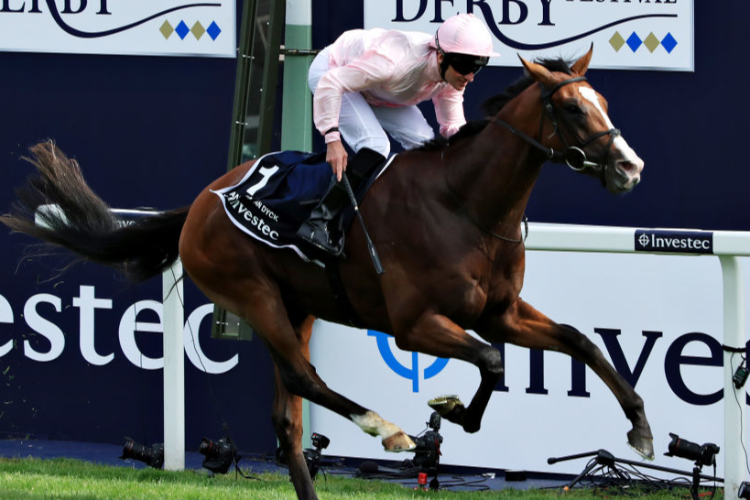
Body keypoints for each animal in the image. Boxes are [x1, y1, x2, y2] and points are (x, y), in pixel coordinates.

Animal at [1, 46, 652, 496]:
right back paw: (386, 428)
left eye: (604, 104)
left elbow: (579, 342)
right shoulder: (413, 325)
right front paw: (452, 414)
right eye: (571, 108)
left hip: (299, 307)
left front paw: (640, 429)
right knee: (304, 379)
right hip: (255, 296)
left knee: (288, 418)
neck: (463, 205)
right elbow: (492, 360)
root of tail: (203, 202)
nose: (631, 166)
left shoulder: (500, 311)